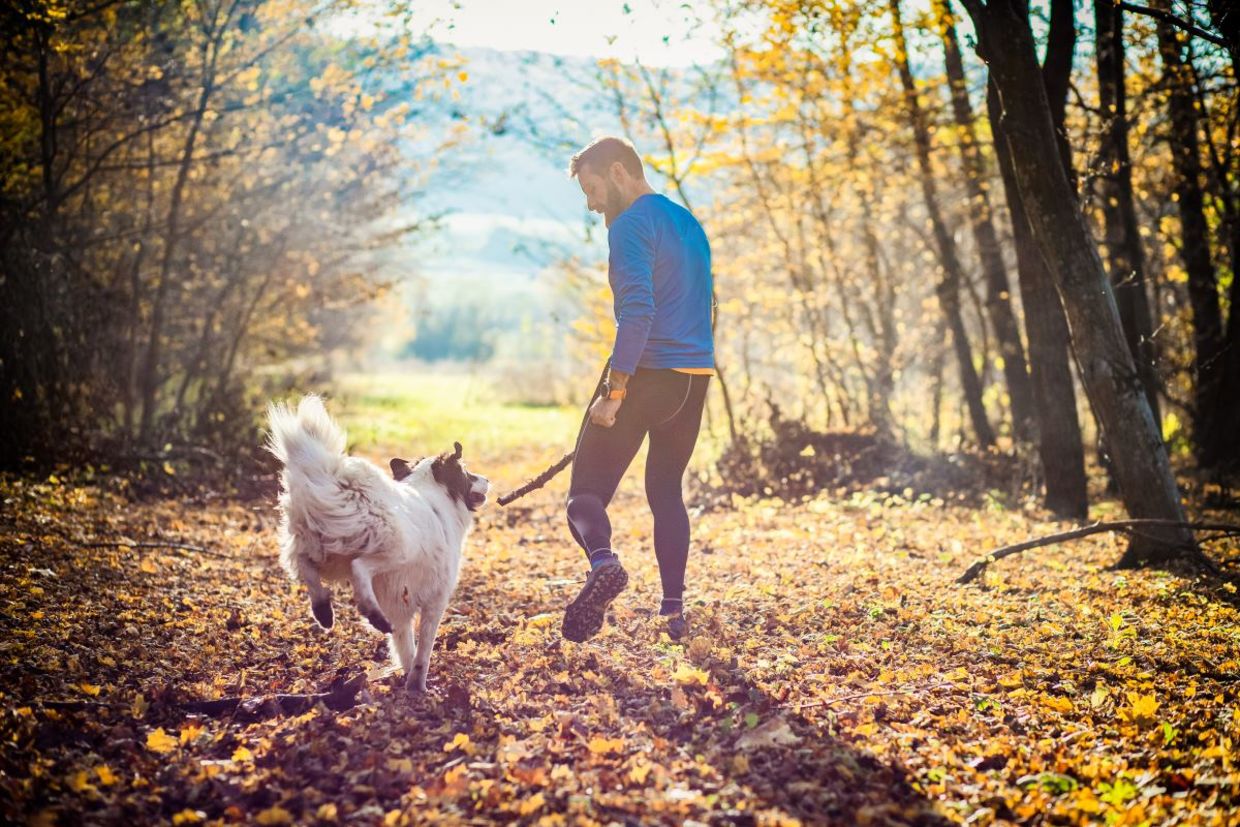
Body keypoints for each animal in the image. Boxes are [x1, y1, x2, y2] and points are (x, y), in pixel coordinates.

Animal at [266, 396, 488, 694]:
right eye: (467, 473)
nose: (487, 480)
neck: (433, 494)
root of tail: (335, 475)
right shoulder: (435, 600)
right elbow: (422, 653)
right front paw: (418, 687)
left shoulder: (402, 607)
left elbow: (406, 648)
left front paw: (408, 680)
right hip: (396, 547)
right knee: (360, 567)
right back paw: (373, 614)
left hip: (315, 543)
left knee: (305, 566)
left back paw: (323, 610)